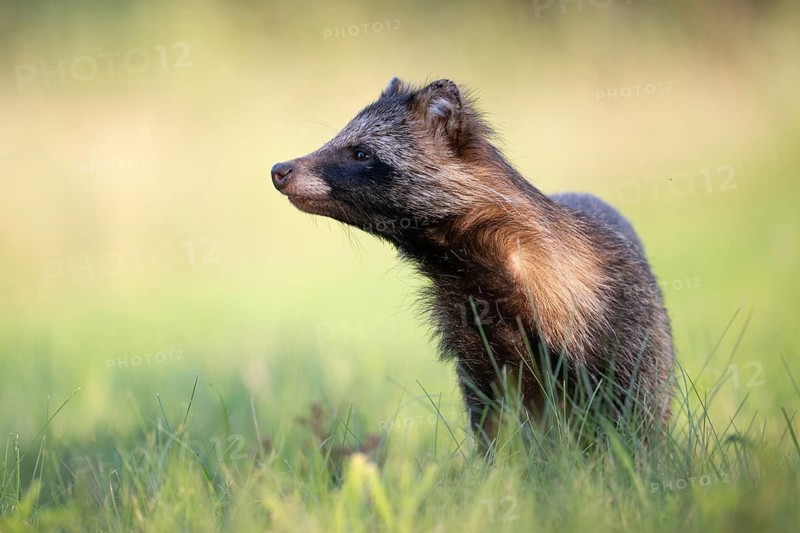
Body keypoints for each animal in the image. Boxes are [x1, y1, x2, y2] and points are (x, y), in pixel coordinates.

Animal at [271, 78, 674, 443]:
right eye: (337, 139)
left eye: (361, 153)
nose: (280, 169)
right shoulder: (475, 341)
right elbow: (494, 422)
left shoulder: (619, 326)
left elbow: (631, 419)